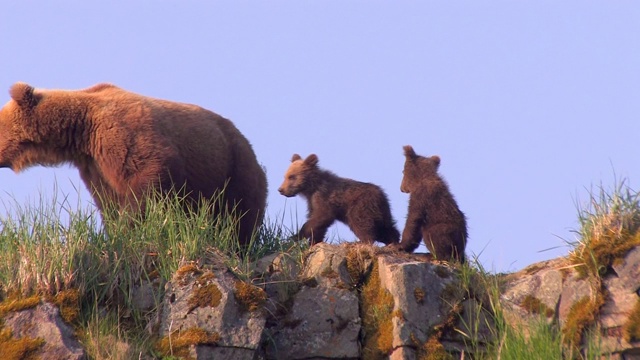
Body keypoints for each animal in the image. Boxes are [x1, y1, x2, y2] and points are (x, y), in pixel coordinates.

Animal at [0, 81, 268, 245]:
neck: (80, 131)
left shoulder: (120, 134)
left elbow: (148, 175)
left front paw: (129, 228)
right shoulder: (95, 165)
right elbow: (107, 200)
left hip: (234, 168)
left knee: (239, 215)